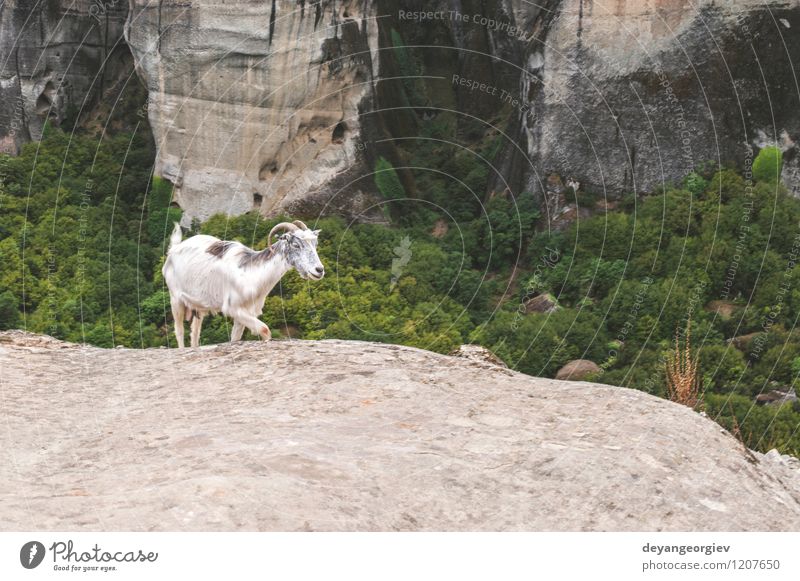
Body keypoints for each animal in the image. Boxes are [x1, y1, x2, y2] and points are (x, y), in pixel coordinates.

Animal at [162, 220, 324, 346]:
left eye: (315, 244)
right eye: (296, 245)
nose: (319, 270)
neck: (250, 274)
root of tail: (174, 249)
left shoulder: (245, 313)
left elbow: (235, 338)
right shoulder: (232, 308)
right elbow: (265, 329)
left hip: (199, 307)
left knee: (195, 332)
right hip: (175, 299)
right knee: (179, 331)